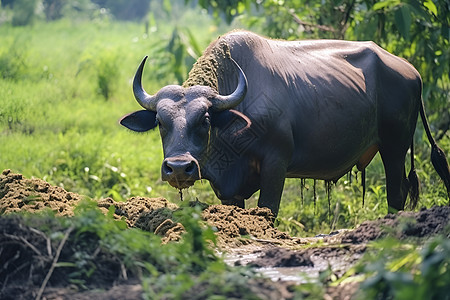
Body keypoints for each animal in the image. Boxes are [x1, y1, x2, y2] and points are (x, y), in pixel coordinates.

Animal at [120, 30, 450, 217]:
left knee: (397, 194)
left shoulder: (275, 164)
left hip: (394, 148)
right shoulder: (229, 188)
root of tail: (411, 72)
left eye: (205, 119)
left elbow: (269, 210)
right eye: (160, 122)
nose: (178, 168)